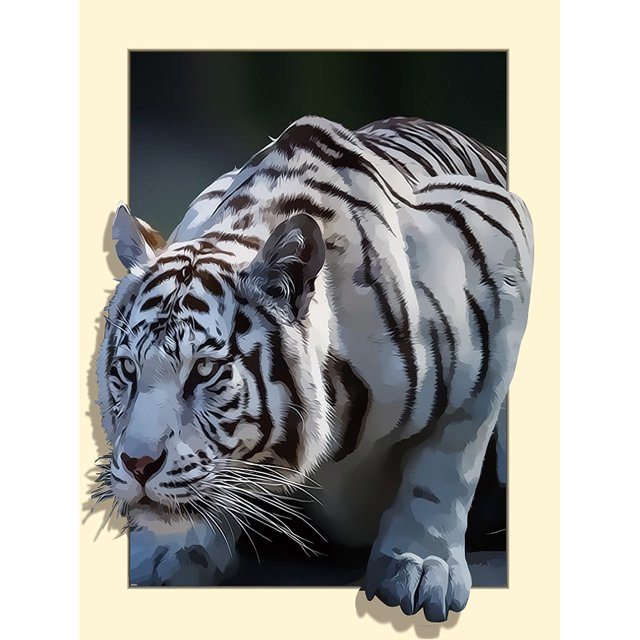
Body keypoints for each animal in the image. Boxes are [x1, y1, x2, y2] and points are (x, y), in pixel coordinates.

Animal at [95, 115, 532, 622]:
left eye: (203, 370)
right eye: (127, 369)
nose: (138, 465)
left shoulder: (501, 256)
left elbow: (447, 460)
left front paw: (421, 566)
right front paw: (171, 549)